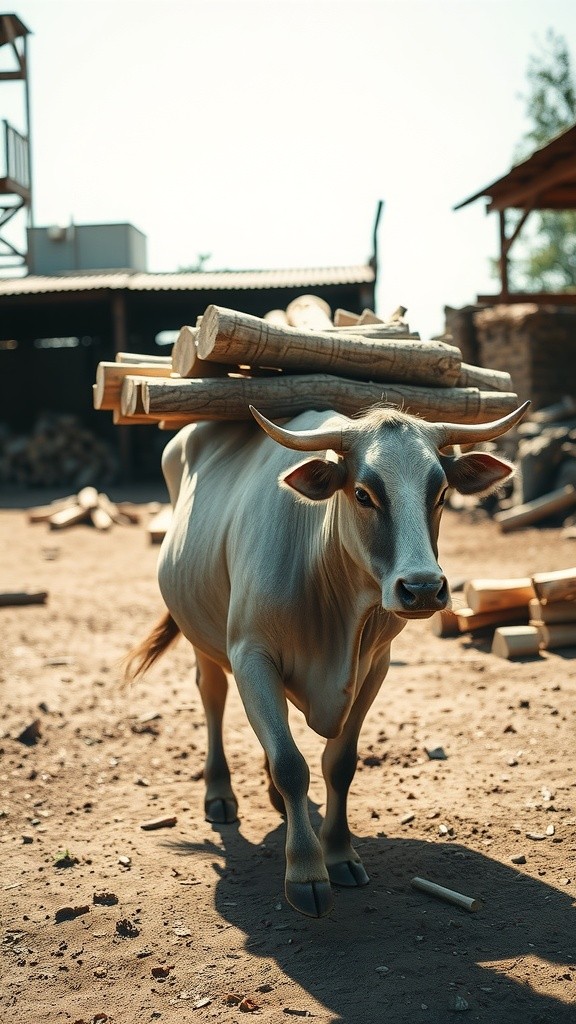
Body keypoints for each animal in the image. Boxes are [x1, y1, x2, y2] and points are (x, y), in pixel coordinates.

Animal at [125, 400, 528, 918]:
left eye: (440, 493)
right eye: (362, 494)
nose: (422, 588)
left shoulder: (374, 666)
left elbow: (339, 764)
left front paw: (339, 853)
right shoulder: (252, 655)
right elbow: (291, 763)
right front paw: (306, 871)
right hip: (201, 631)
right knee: (213, 696)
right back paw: (219, 791)